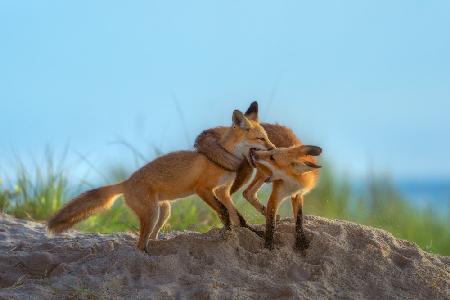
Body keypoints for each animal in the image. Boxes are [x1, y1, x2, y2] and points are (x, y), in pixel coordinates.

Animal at [48, 109, 274, 251]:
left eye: (267, 138)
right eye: (261, 139)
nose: (274, 149)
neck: (223, 159)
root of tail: (126, 181)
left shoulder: (223, 191)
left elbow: (237, 216)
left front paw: (248, 233)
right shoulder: (203, 190)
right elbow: (223, 212)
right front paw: (226, 232)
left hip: (163, 212)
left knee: (151, 238)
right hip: (151, 214)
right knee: (140, 245)